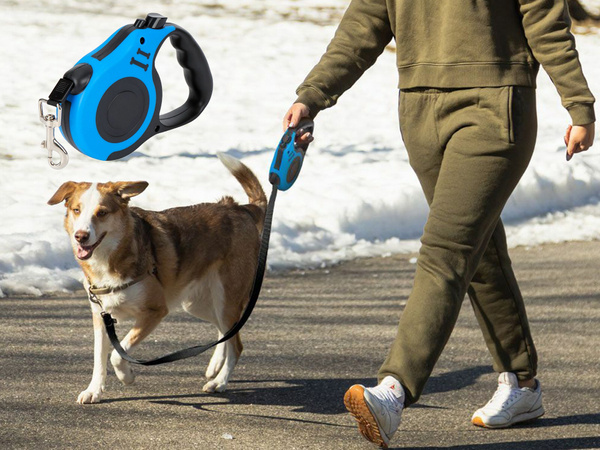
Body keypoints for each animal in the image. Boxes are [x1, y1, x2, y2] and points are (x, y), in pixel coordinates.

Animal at [48, 155, 268, 404]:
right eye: (76, 210)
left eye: (102, 213)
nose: (81, 236)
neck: (109, 259)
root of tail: (240, 209)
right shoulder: (101, 317)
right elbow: (99, 358)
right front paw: (94, 390)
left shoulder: (155, 312)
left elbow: (116, 355)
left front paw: (127, 376)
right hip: (198, 304)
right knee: (226, 332)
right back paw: (215, 366)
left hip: (226, 298)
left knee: (236, 345)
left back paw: (220, 382)